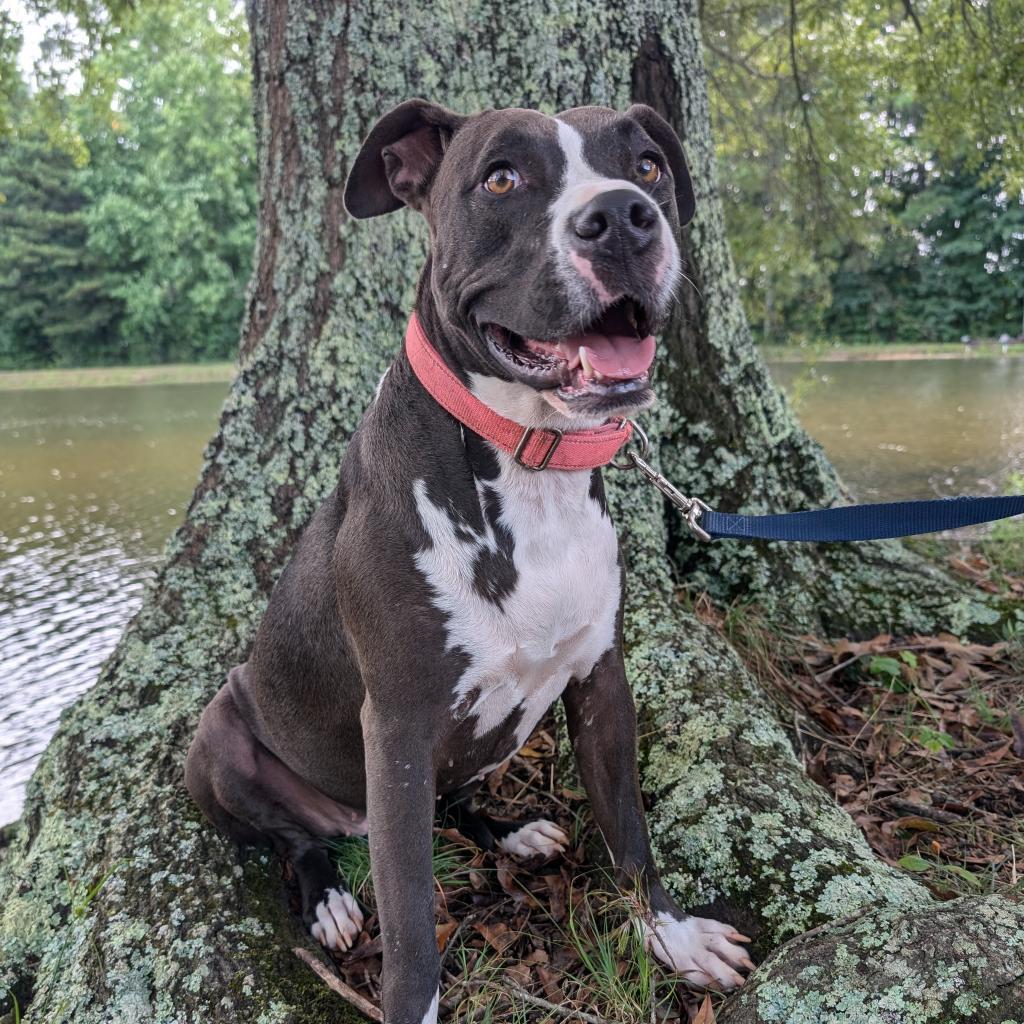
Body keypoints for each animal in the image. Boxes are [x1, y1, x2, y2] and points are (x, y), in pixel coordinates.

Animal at [188, 97, 757, 1024]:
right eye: (502, 178)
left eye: (645, 166)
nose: (624, 218)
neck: (531, 464)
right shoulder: (397, 728)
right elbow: (412, 924)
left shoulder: (602, 679)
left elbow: (629, 829)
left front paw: (670, 936)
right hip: (220, 739)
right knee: (293, 839)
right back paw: (328, 895)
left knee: (455, 804)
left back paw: (513, 830)